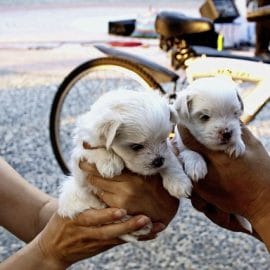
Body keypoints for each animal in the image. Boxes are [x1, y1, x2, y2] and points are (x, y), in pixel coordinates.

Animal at [57, 89, 191, 242]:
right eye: (136, 147)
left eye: (163, 140)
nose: (158, 161)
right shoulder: (83, 148)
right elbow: (99, 149)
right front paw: (111, 162)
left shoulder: (167, 153)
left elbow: (170, 160)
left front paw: (179, 183)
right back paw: (137, 225)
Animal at [174, 76, 252, 232]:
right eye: (204, 117)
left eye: (235, 114)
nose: (227, 133)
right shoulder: (180, 142)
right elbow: (189, 151)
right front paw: (196, 166)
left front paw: (237, 144)